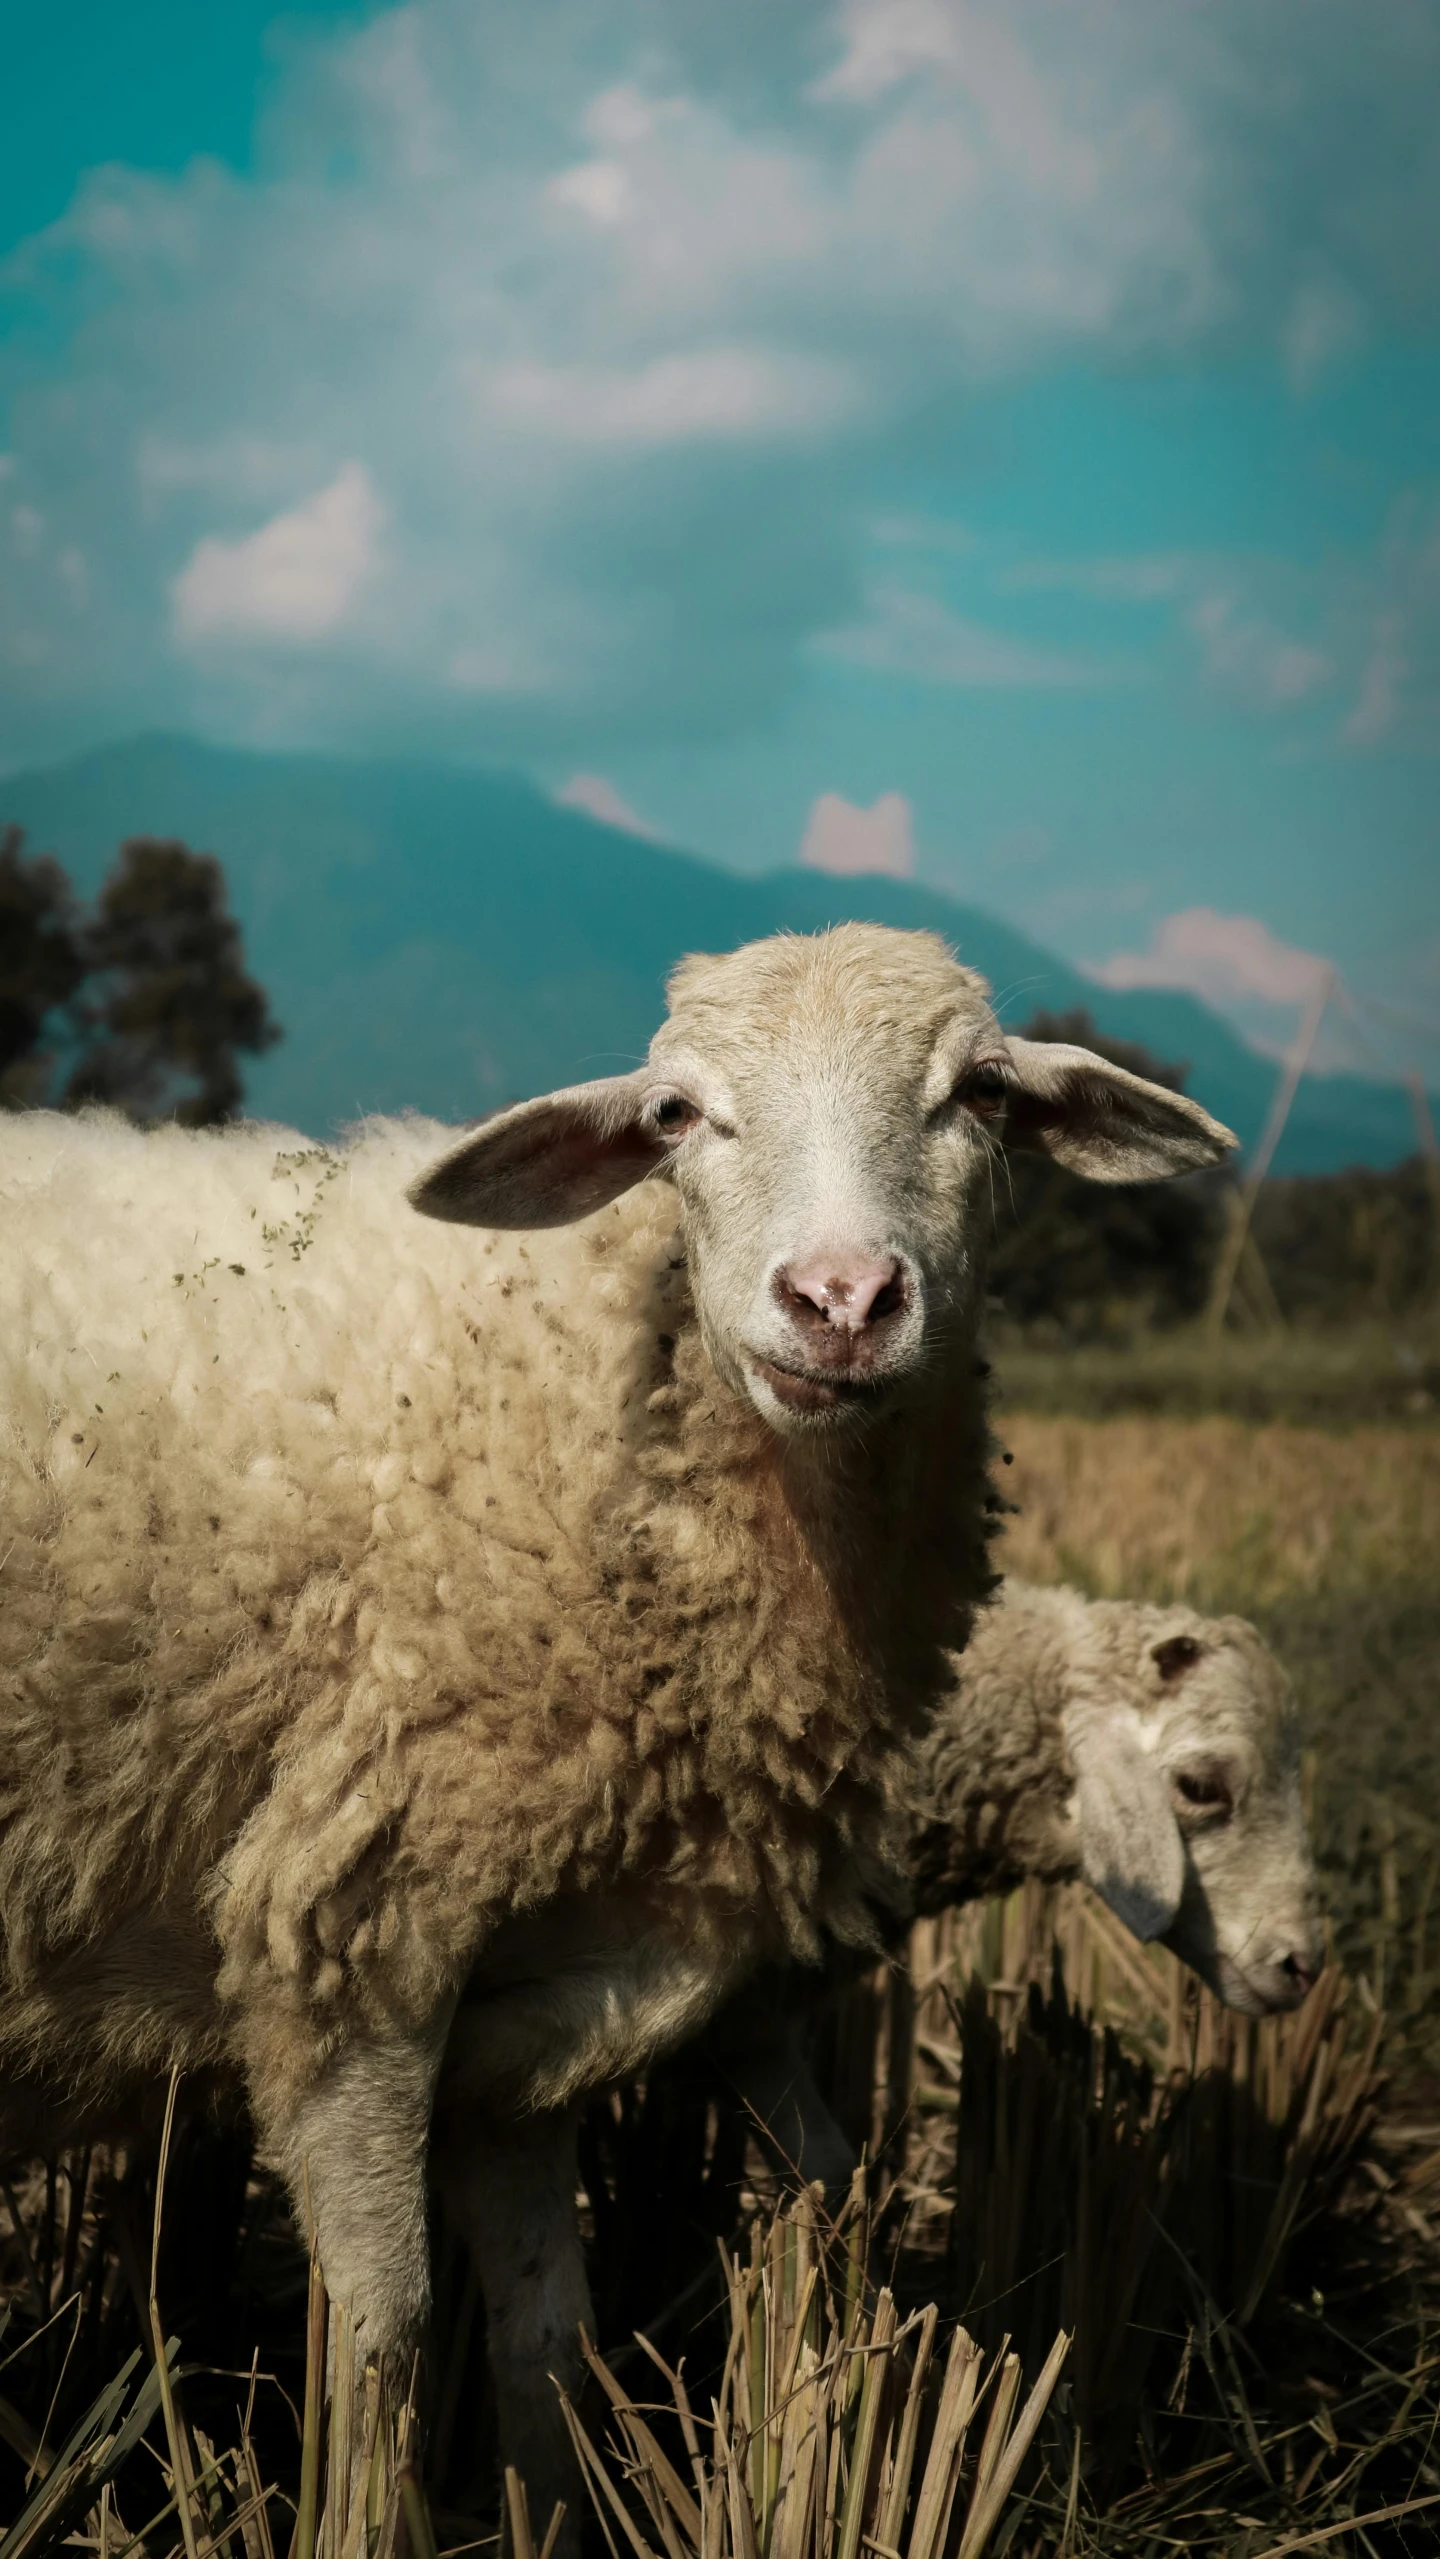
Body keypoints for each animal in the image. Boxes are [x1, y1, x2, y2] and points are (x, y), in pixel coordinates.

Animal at [0, 921, 1237, 2518]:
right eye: (675, 1113)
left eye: (981, 1092)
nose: (841, 1302)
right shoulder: (350, 1930)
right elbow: (386, 2337)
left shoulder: (533, 2005)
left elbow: (549, 2341)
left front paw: (551, 2512)